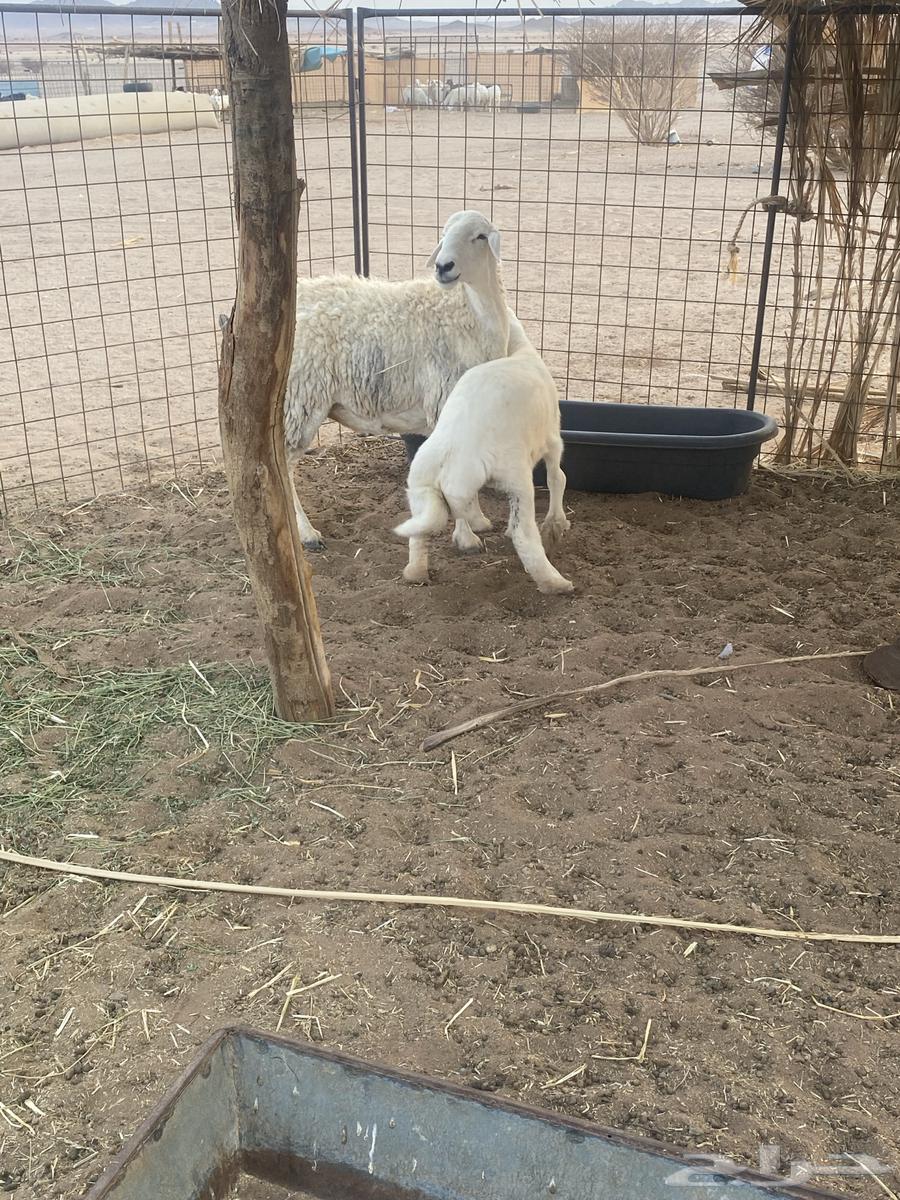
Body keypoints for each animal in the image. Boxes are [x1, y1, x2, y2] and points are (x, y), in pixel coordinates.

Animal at [284, 210, 512, 550]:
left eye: (480, 236)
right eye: (443, 234)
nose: (442, 266)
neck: (470, 313)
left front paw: (476, 522)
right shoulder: (445, 399)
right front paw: (466, 537)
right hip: (300, 396)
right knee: (282, 463)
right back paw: (305, 532)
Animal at [394, 315, 573, 596]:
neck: (520, 350)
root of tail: (450, 454)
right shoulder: (554, 439)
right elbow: (558, 478)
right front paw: (557, 523)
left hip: (421, 488)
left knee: (420, 532)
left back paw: (417, 572)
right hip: (515, 475)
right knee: (524, 534)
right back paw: (554, 583)